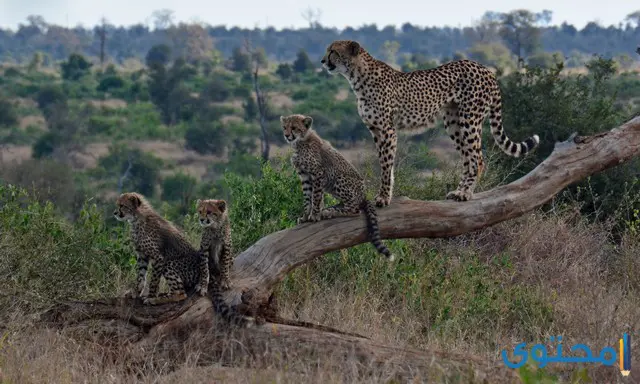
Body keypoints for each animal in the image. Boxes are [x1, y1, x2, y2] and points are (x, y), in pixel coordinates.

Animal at [282, 112, 392, 260]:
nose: (287, 135)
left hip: (339, 179)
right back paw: (330, 209)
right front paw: (305, 216)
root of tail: (364, 195)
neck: (300, 141)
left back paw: (331, 212)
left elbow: (316, 197)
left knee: (354, 209)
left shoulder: (318, 173)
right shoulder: (304, 176)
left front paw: (314, 215)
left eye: (294, 128)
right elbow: (307, 198)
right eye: (285, 127)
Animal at [320, 40, 540, 206]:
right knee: (468, 158)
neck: (356, 76)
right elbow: (385, 164)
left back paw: (465, 193)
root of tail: (485, 69)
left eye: (333, 51)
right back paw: (458, 191)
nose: (322, 61)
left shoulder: (388, 130)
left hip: (469, 120)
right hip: (454, 123)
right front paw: (385, 194)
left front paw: (383, 198)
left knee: (477, 159)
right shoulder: (376, 130)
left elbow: (386, 165)